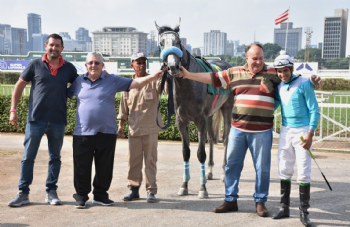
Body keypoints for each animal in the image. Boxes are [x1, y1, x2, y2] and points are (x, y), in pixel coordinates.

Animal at [154, 19, 234, 198]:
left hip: (227, 109)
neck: (189, 85)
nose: (173, 67)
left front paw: (202, 189)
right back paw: (210, 171)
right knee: (211, 137)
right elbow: (186, 152)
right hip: (211, 115)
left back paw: (224, 173)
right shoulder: (182, 121)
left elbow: (200, 153)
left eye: (178, 41)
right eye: (161, 43)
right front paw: (184, 186)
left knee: (226, 139)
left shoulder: (200, 120)